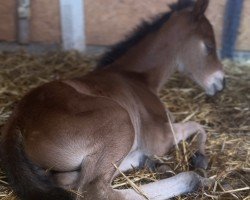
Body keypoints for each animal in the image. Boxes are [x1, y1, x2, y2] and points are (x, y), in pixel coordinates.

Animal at [0, 0, 226, 199]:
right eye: (209, 46)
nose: (221, 82)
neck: (138, 78)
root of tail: (17, 120)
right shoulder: (161, 138)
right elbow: (198, 125)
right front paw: (200, 160)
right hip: (120, 120)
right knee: (95, 189)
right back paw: (194, 179)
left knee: (67, 179)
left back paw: (145, 160)